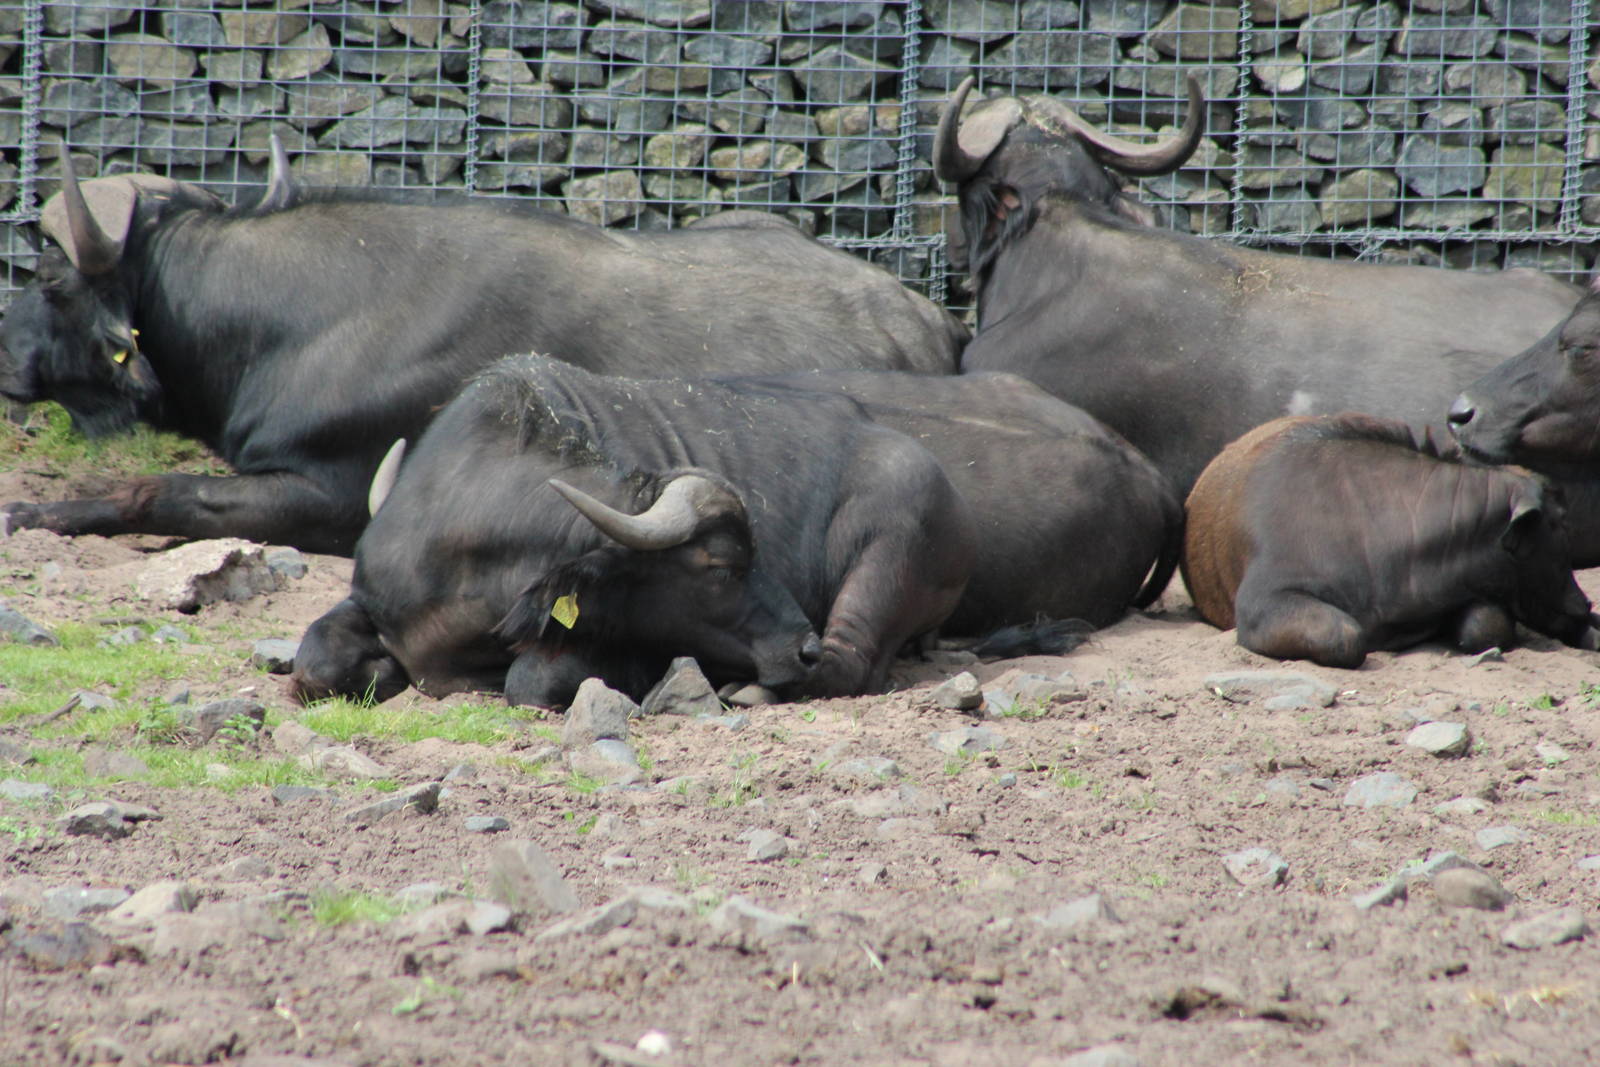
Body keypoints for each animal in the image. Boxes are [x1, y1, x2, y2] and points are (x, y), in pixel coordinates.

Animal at [0, 145, 966, 554]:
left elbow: (162, 492)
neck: (305, 322)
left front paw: (37, 511)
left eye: (48, 276)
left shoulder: (329, 493)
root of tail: (928, 321)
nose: (4, 351)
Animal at [290, 355, 976, 706]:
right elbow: (315, 660)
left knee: (852, 663)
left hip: (888, 558)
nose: (801, 646)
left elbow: (529, 681)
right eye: (723, 564)